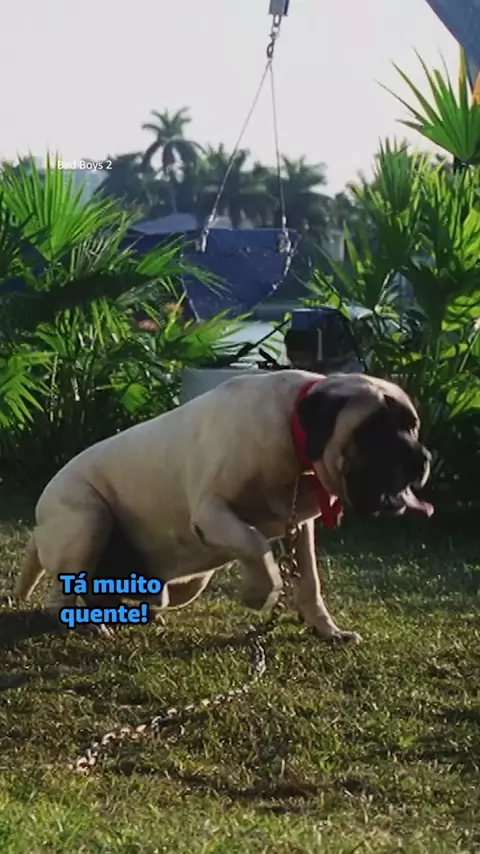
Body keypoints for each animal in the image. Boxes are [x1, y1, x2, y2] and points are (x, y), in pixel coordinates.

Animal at [13, 370, 433, 643]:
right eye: (372, 430)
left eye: (412, 425)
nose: (422, 459)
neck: (296, 442)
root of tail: (39, 521)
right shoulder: (211, 512)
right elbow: (256, 545)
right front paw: (258, 594)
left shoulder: (299, 529)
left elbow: (310, 583)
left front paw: (326, 629)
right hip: (89, 518)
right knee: (62, 593)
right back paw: (86, 621)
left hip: (185, 581)